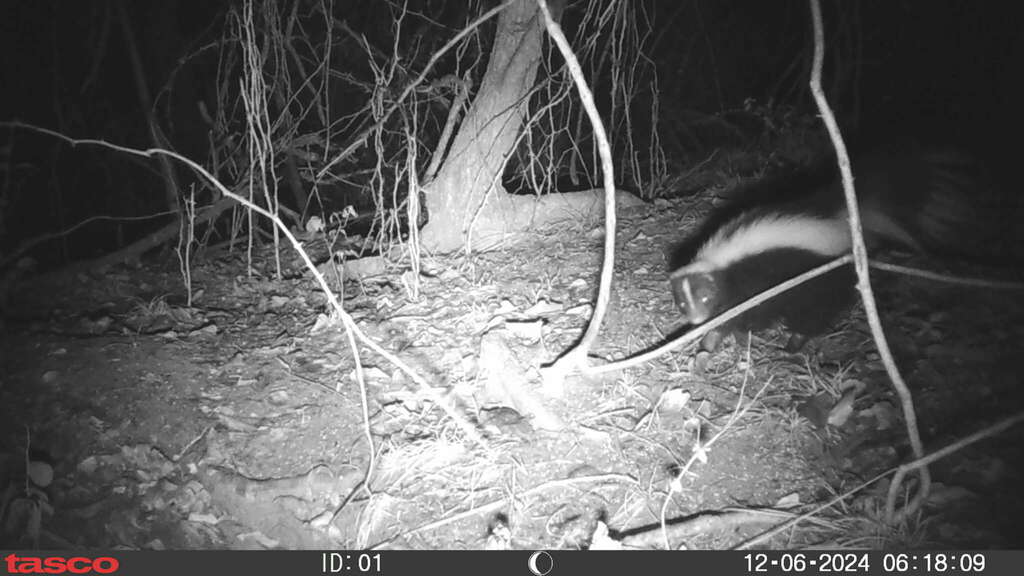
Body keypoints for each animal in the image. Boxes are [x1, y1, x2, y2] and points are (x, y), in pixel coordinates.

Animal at [671, 143, 983, 352]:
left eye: (705, 297)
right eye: (683, 302)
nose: (696, 319)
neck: (721, 260)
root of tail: (843, 215)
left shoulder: (750, 284)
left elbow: (739, 314)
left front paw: (714, 339)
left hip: (826, 279)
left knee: (817, 312)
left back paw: (794, 342)